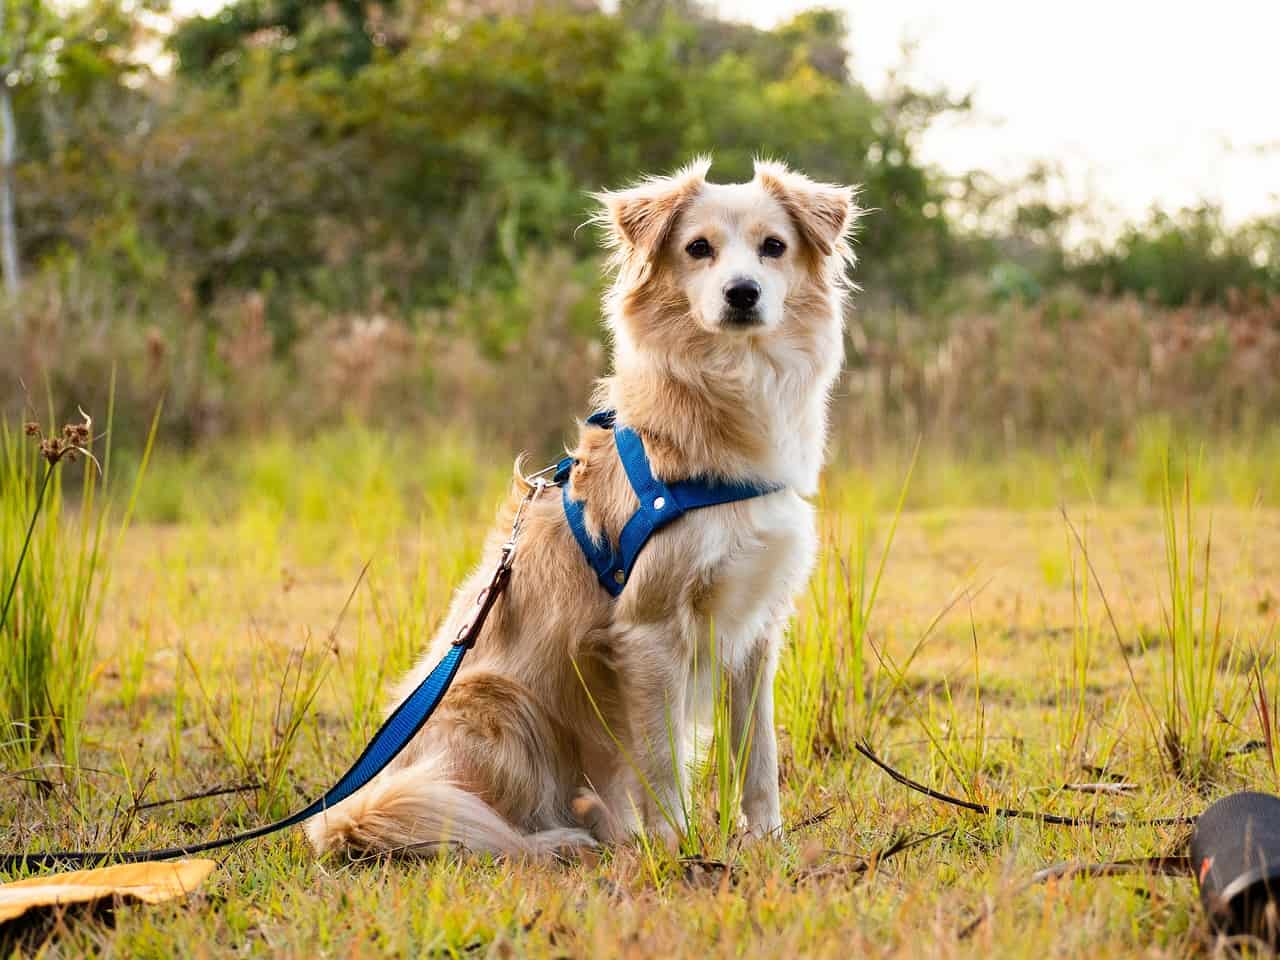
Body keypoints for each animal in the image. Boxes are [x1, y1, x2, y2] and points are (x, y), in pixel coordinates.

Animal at [304, 161, 855, 860]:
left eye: (774, 247)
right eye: (698, 248)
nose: (742, 293)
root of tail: (358, 806)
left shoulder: (755, 626)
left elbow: (758, 755)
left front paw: (767, 841)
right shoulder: (649, 630)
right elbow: (663, 763)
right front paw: (677, 851)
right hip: (503, 705)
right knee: (484, 821)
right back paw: (562, 839)